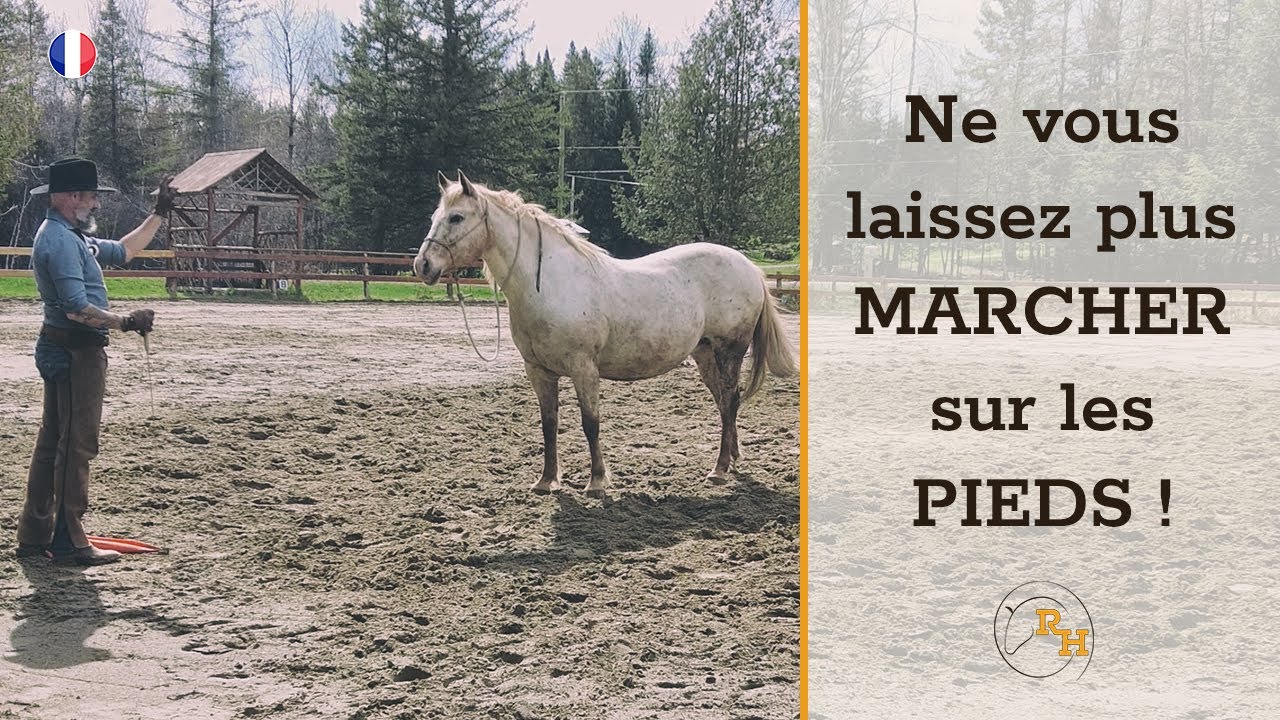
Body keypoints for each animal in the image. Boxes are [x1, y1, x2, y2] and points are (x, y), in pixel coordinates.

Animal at [414, 171, 798, 497]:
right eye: (434, 215)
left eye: (456, 218)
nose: (423, 266)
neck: (551, 283)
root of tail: (749, 267)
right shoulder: (538, 371)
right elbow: (549, 424)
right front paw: (546, 481)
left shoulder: (584, 369)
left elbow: (590, 423)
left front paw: (597, 482)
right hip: (704, 354)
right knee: (724, 402)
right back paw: (731, 460)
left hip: (729, 351)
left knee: (730, 401)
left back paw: (719, 469)